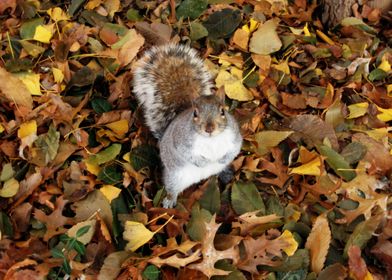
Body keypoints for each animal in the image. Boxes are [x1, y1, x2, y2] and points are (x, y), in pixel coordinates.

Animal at [132, 42, 242, 207]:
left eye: (223, 111)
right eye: (195, 113)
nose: (209, 128)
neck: (211, 140)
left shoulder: (234, 136)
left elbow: (235, 149)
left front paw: (223, 158)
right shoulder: (180, 140)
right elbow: (186, 153)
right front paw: (202, 162)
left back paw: (225, 172)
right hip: (174, 177)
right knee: (172, 189)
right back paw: (169, 201)